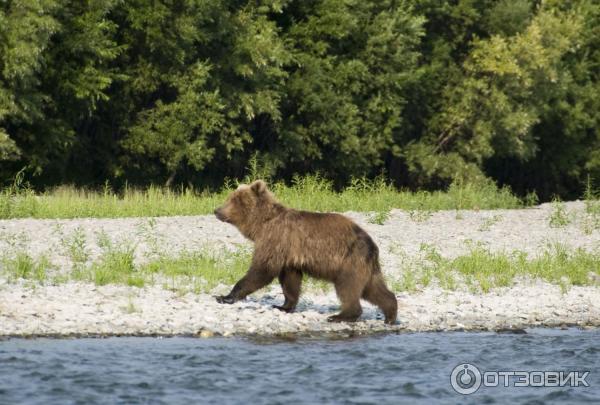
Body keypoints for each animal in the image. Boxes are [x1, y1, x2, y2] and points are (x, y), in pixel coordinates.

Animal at [213, 179, 396, 322]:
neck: (261, 224)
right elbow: (290, 280)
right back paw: (390, 314)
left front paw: (225, 297)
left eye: (232, 200)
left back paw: (340, 316)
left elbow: (262, 270)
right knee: (373, 289)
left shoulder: (275, 238)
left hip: (350, 261)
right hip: (365, 265)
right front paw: (283, 306)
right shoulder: (288, 253)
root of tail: (372, 244)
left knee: (348, 287)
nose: (216, 210)